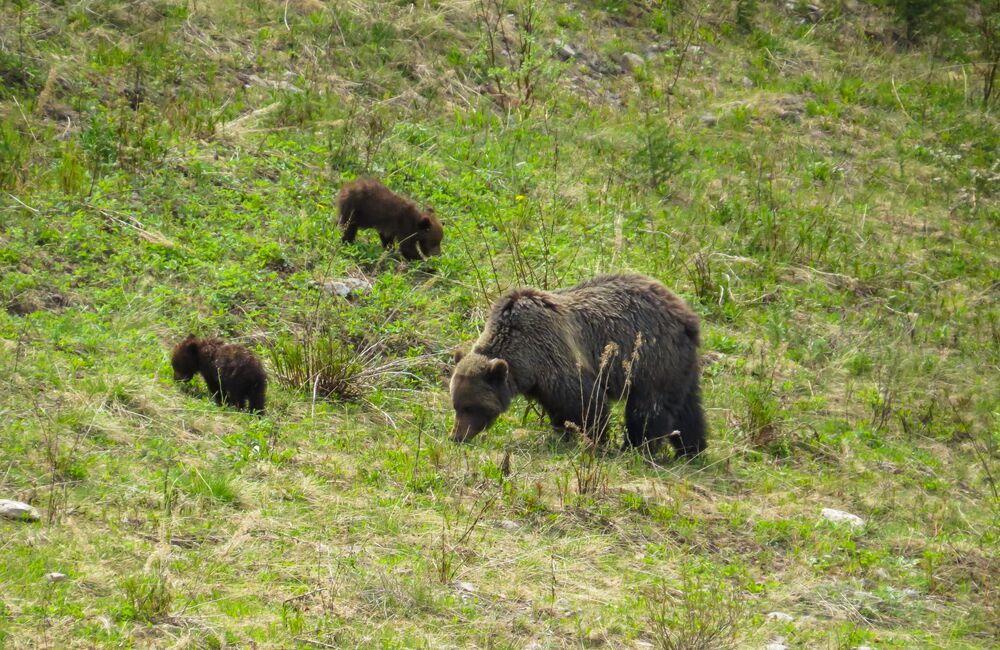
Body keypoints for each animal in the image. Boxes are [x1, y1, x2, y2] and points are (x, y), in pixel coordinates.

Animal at [449, 274, 706, 457]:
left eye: (470, 407)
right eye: (456, 405)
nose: (456, 436)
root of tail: (687, 314)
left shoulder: (554, 356)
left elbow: (585, 402)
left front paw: (597, 438)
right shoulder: (541, 383)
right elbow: (558, 410)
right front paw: (563, 434)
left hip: (651, 359)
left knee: (648, 407)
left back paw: (637, 448)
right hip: (678, 365)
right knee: (687, 408)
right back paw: (692, 450)